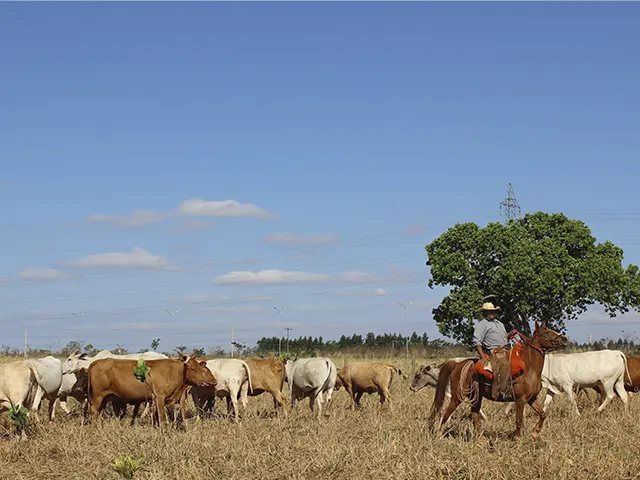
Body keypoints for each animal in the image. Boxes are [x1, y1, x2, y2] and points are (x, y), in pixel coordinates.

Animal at [86, 350, 216, 426]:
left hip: (105, 398)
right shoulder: (159, 397)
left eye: (201, 368)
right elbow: (162, 417)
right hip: (98, 396)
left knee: (99, 413)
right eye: (193, 369)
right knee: (93, 411)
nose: (214, 381)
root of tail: (97, 362)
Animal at [428, 320, 568, 440]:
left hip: (476, 397)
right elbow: (519, 421)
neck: (529, 368)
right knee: (447, 412)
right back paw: (440, 435)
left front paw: (534, 433)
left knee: (474, 414)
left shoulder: (531, 398)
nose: (565, 339)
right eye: (547, 333)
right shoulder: (520, 399)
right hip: (458, 396)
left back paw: (482, 438)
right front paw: (517, 438)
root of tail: (457, 364)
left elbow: (543, 414)